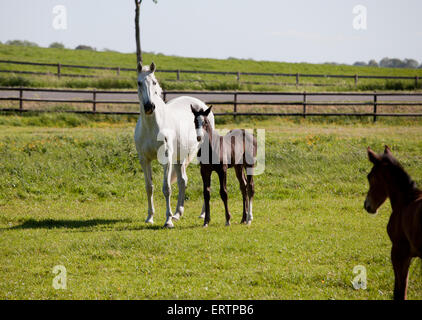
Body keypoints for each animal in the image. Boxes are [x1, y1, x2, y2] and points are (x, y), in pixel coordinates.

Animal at [134, 62, 214, 228]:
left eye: (154, 82)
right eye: (139, 83)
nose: (149, 106)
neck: (152, 126)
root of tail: (203, 107)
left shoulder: (167, 159)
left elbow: (167, 188)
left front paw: (168, 220)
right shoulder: (144, 160)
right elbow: (149, 187)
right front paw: (150, 217)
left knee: (206, 181)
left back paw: (203, 214)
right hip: (180, 159)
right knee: (183, 181)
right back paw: (178, 213)